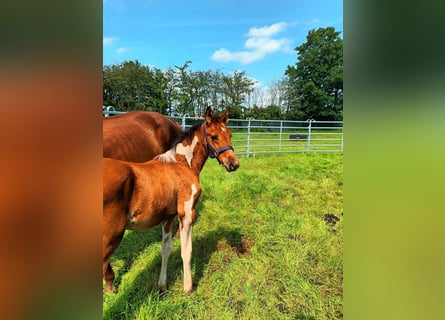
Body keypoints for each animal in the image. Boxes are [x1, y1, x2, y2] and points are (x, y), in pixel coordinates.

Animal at [102, 108, 239, 296]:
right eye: (213, 136)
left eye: (230, 135)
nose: (234, 164)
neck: (182, 164)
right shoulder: (186, 213)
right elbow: (186, 251)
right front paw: (188, 288)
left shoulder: (168, 217)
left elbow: (165, 249)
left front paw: (162, 286)